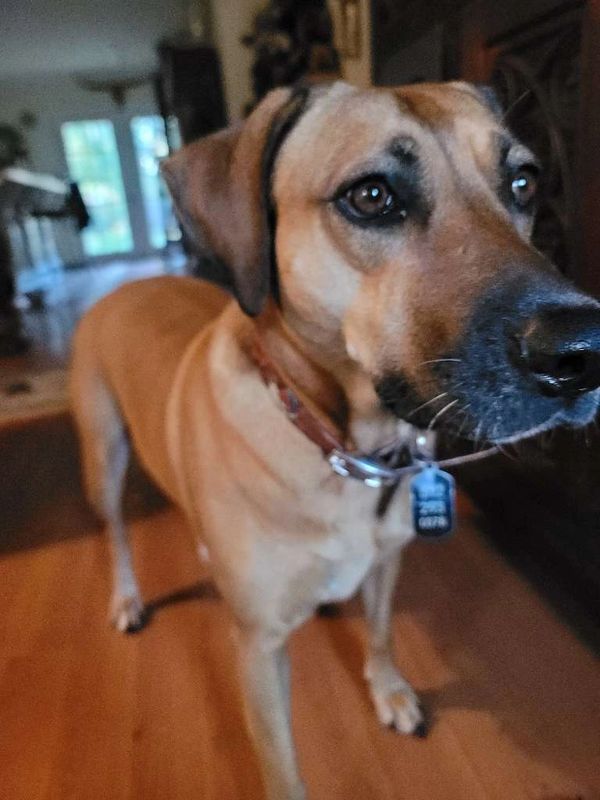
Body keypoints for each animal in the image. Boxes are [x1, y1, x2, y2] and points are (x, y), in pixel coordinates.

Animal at [71, 83, 600, 800]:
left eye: (523, 182)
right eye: (372, 196)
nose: (583, 353)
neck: (347, 446)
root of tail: (128, 284)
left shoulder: (386, 562)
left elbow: (379, 634)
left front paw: (390, 691)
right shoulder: (259, 651)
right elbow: (282, 769)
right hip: (104, 457)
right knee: (117, 534)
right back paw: (126, 596)